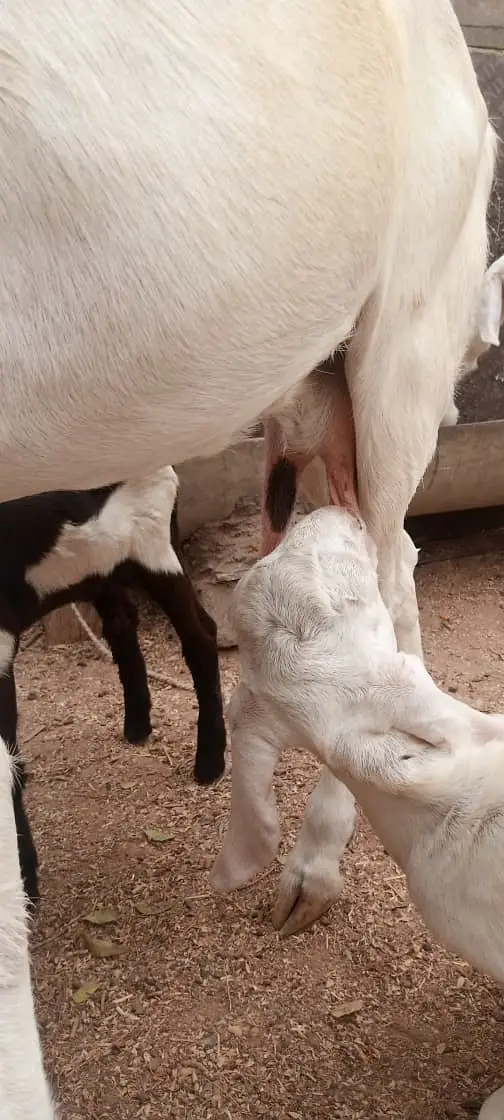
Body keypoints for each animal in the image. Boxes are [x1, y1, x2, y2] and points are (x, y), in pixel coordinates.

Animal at [3, 466, 226, 907]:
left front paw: (25, 884)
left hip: (151, 543)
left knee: (201, 635)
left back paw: (210, 762)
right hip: (99, 563)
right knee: (123, 624)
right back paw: (138, 725)